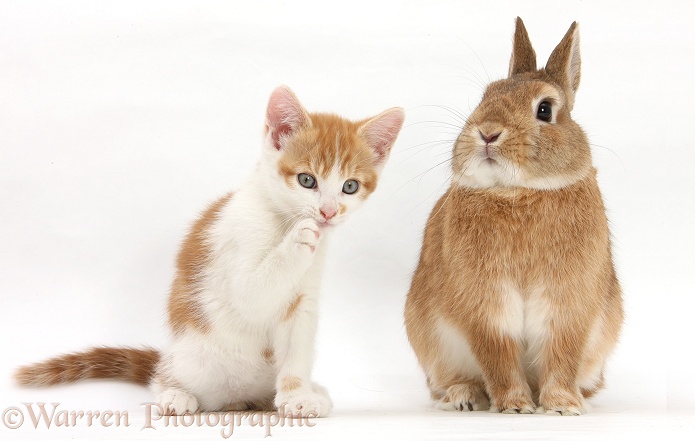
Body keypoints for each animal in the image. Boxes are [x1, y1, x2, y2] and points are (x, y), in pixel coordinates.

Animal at [14, 85, 408, 416]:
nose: (327, 213)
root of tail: (236, 400)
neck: (278, 219)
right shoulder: (238, 239)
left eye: (350, 187)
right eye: (306, 180)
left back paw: (310, 394)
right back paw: (174, 394)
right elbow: (252, 293)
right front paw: (300, 236)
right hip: (188, 357)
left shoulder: (305, 298)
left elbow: (297, 343)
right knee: (160, 376)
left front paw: (298, 396)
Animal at [402, 18, 624, 416]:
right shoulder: (486, 307)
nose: (488, 132)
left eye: (545, 110)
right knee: (447, 384)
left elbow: (561, 354)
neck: (517, 192)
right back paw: (465, 397)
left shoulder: (567, 305)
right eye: (485, 97)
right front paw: (516, 406)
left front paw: (562, 407)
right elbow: (499, 356)